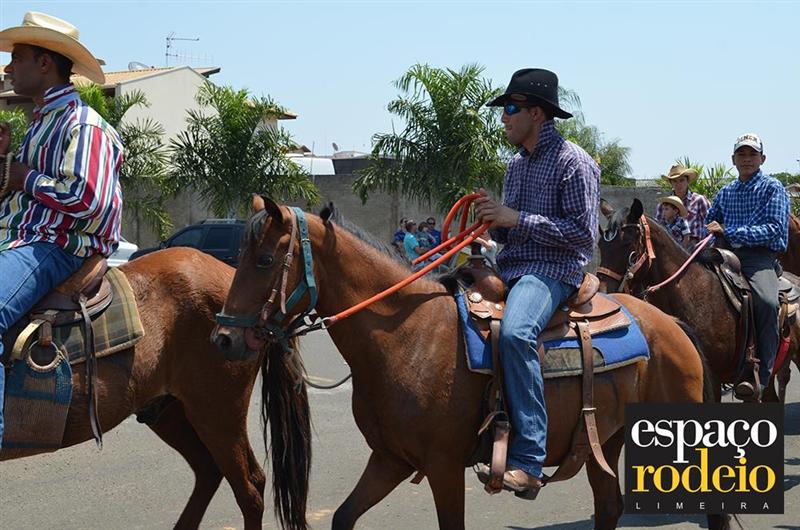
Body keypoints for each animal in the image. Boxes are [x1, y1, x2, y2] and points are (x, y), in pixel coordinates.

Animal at [212, 197, 728, 530]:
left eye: (264, 260)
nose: (223, 338)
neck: (406, 335)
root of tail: (671, 325)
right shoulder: (390, 459)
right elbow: (343, 516)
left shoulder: (442, 467)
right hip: (607, 438)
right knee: (608, 506)